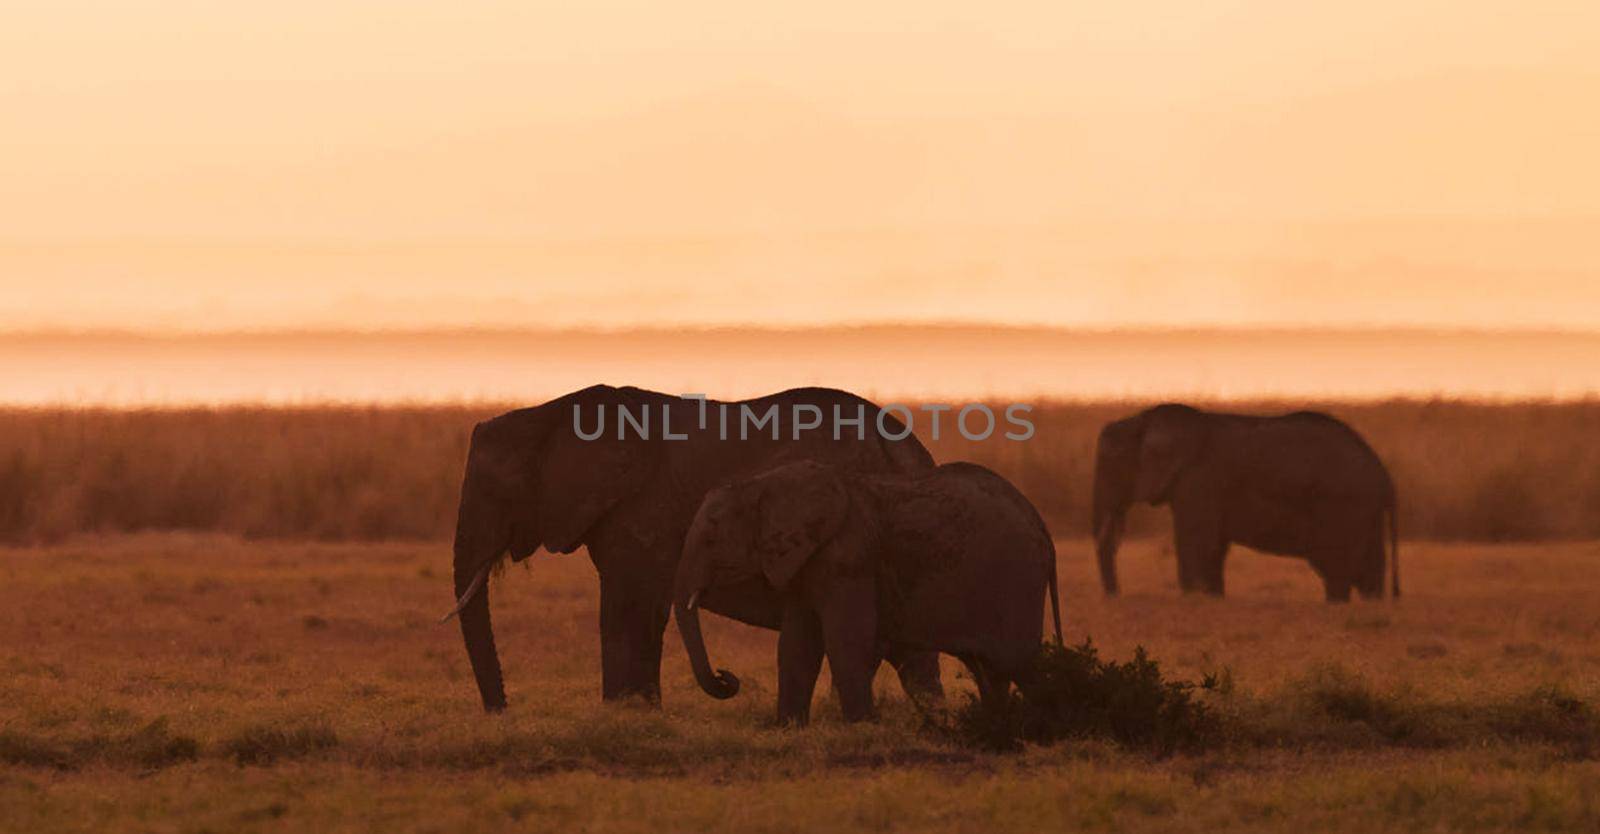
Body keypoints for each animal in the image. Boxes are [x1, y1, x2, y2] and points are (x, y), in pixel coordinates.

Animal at [438, 387, 940, 710]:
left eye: (497, 491)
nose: (502, 710)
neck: (550, 412)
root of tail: (908, 450)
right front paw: (637, 713)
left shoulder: (642, 507)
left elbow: (629, 604)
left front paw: (625, 713)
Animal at [672, 454, 1062, 720]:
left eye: (711, 538)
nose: (725, 676)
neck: (762, 484)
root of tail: (1042, 527)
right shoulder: (805, 562)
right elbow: (797, 645)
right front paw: (789, 727)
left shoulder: (849, 555)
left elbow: (846, 640)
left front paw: (861, 724)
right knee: (991, 668)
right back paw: (994, 723)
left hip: (1015, 579)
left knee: (1018, 661)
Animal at [1088, 403, 1401, 598]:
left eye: (1110, 466)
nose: (1115, 595)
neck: (1143, 418)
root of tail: (1383, 474)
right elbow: (1213, 547)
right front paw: (1211, 598)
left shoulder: (1199, 480)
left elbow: (1197, 542)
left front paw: (1193, 597)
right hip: (1363, 511)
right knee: (1367, 573)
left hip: (1344, 506)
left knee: (1336, 570)